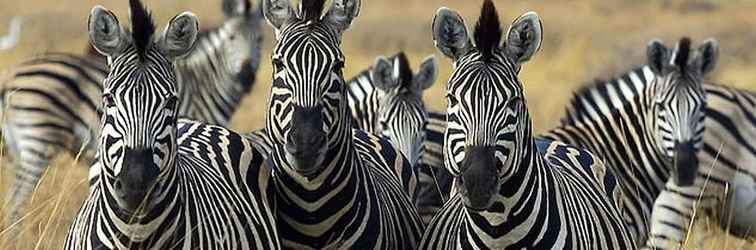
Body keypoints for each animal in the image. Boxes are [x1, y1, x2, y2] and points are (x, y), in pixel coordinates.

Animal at [0, 0, 266, 225]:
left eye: (260, 39)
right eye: (231, 38)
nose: (246, 78)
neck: (201, 83)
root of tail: (10, 78)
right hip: (38, 140)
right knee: (15, 203)